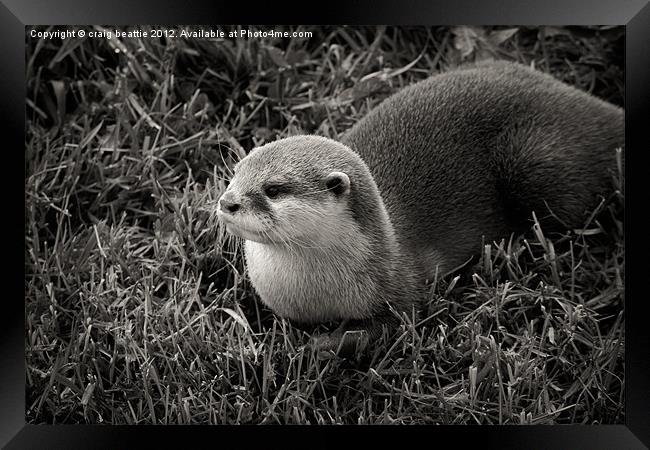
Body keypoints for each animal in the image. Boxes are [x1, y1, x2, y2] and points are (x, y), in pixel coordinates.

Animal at [216, 60, 624, 352]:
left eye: (273, 188)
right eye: (235, 173)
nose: (226, 202)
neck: (314, 298)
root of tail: (591, 108)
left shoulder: (401, 286)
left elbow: (386, 327)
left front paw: (317, 346)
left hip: (536, 162)